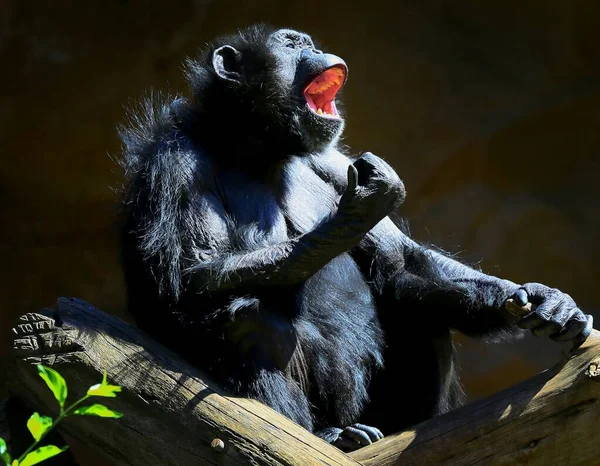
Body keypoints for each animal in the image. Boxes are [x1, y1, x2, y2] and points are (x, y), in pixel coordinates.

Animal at [117, 24, 592, 452]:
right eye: (291, 45)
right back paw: (334, 437)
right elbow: (193, 274)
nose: (315, 49)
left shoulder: (333, 159)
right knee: (247, 322)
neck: (260, 148)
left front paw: (544, 299)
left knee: (420, 305)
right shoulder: (175, 164)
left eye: (307, 42)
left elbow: (402, 260)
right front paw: (356, 212)